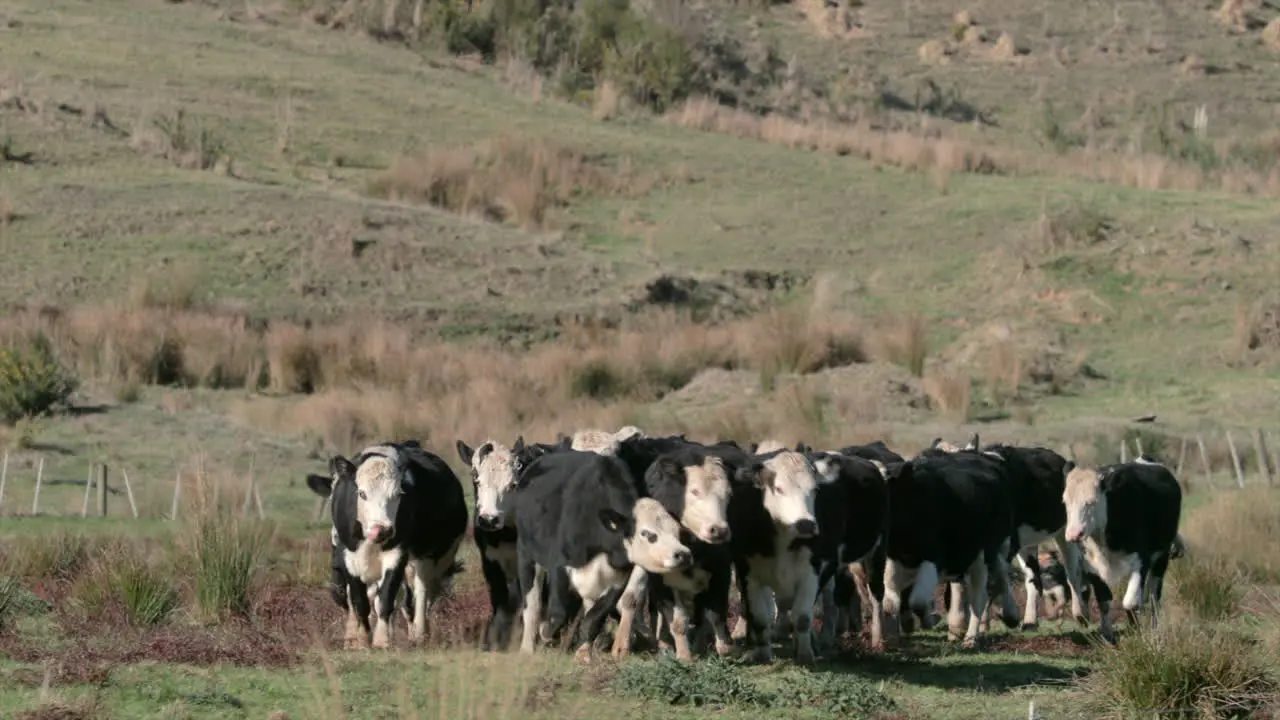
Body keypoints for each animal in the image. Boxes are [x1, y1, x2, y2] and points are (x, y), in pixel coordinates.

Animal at [307, 440, 468, 648]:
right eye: (361, 493)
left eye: (398, 494)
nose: (381, 529)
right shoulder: (349, 558)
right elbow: (359, 601)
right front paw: (360, 640)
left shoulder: (397, 556)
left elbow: (386, 598)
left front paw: (382, 640)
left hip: (429, 558)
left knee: (421, 592)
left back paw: (419, 632)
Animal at [509, 448, 696, 661]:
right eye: (647, 534)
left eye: (677, 532)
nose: (683, 554)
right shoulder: (560, 565)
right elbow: (558, 613)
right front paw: (545, 633)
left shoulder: (618, 580)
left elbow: (594, 618)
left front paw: (583, 653)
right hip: (526, 554)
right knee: (531, 604)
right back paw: (527, 647)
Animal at [880, 448, 1018, 645]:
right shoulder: (895, 558)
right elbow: (891, 603)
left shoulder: (933, 557)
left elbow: (918, 601)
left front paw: (929, 620)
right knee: (1000, 575)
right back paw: (1009, 615)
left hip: (986, 552)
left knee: (980, 597)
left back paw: (971, 637)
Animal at [1059, 453, 1177, 638]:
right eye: (1065, 502)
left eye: (1091, 502)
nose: (1073, 534)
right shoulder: (1090, 566)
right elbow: (1104, 600)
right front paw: (1108, 635)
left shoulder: (1142, 560)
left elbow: (1130, 602)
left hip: (1161, 557)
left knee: (1154, 595)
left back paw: (1154, 629)